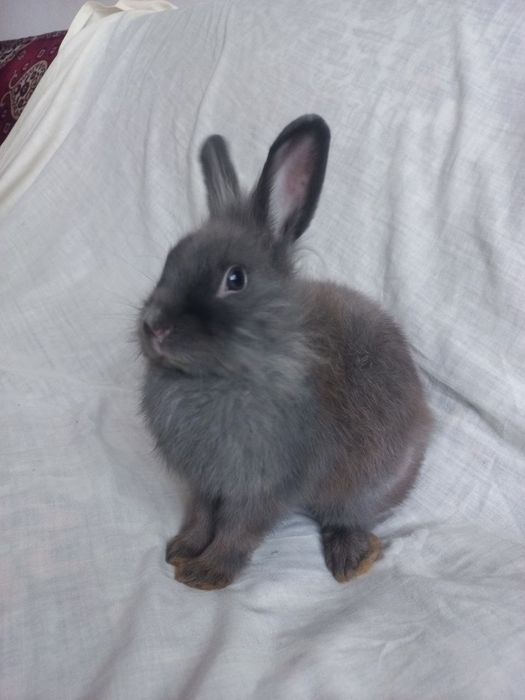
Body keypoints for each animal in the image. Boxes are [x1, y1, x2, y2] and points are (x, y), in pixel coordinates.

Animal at [139, 114, 432, 590]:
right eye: (171, 257)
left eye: (235, 279)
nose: (154, 326)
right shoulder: (203, 482)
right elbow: (200, 517)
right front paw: (181, 551)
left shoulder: (264, 487)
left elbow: (238, 530)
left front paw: (206, 574)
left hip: (366, 484)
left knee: (349, 516)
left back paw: (351, 559)